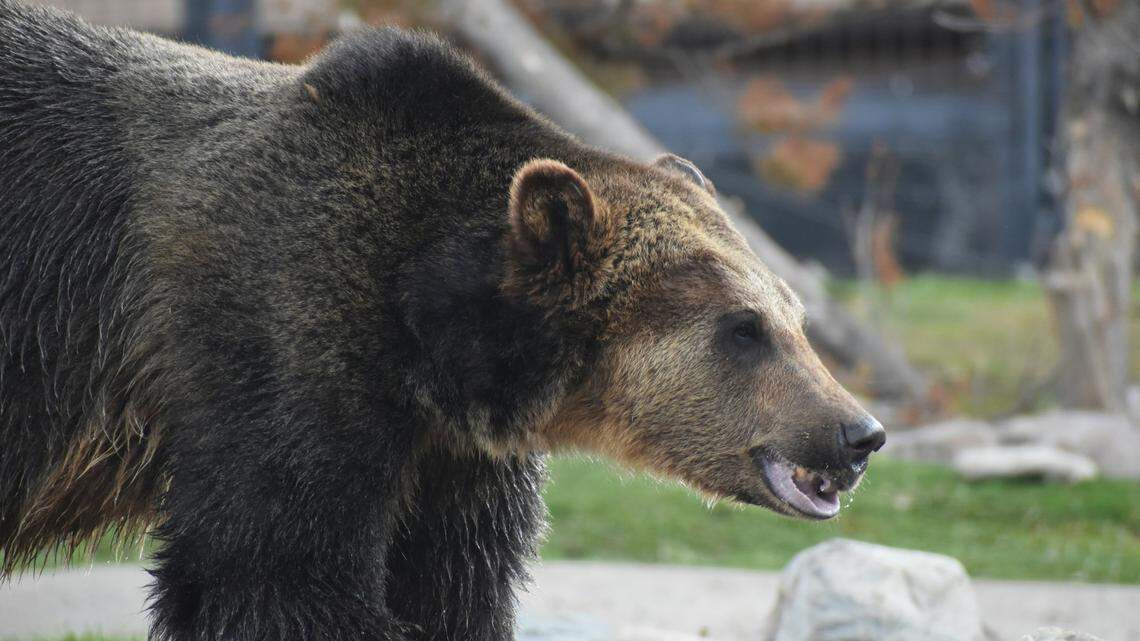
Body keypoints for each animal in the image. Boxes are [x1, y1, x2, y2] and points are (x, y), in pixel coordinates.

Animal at [0, 2, 886, 640]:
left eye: (794, 316)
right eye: (743, 328)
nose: (858, 432)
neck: (430, 339)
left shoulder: (454, 462)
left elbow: (457, 587)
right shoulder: (279, 351)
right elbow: (271, 574)